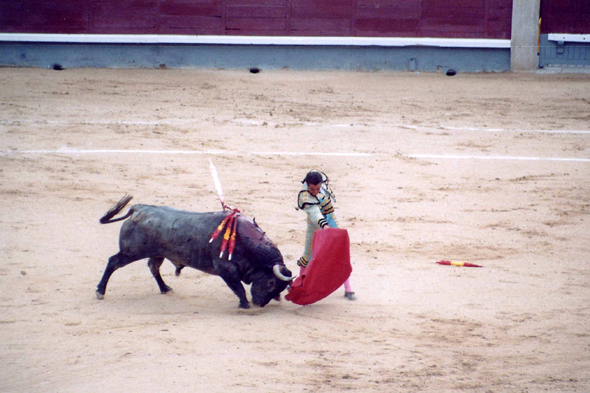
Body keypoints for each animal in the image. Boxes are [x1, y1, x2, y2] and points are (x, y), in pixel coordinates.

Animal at [96, 194, 296, 308]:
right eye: (271, 282)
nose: (260, 304)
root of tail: (139, 208)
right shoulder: (225, 268)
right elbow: (238, 288)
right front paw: (245, 305)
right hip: (132, 251)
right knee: (114, 262)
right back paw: (100, 291)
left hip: (157, 253)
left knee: (153, 267)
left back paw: (165, 288)